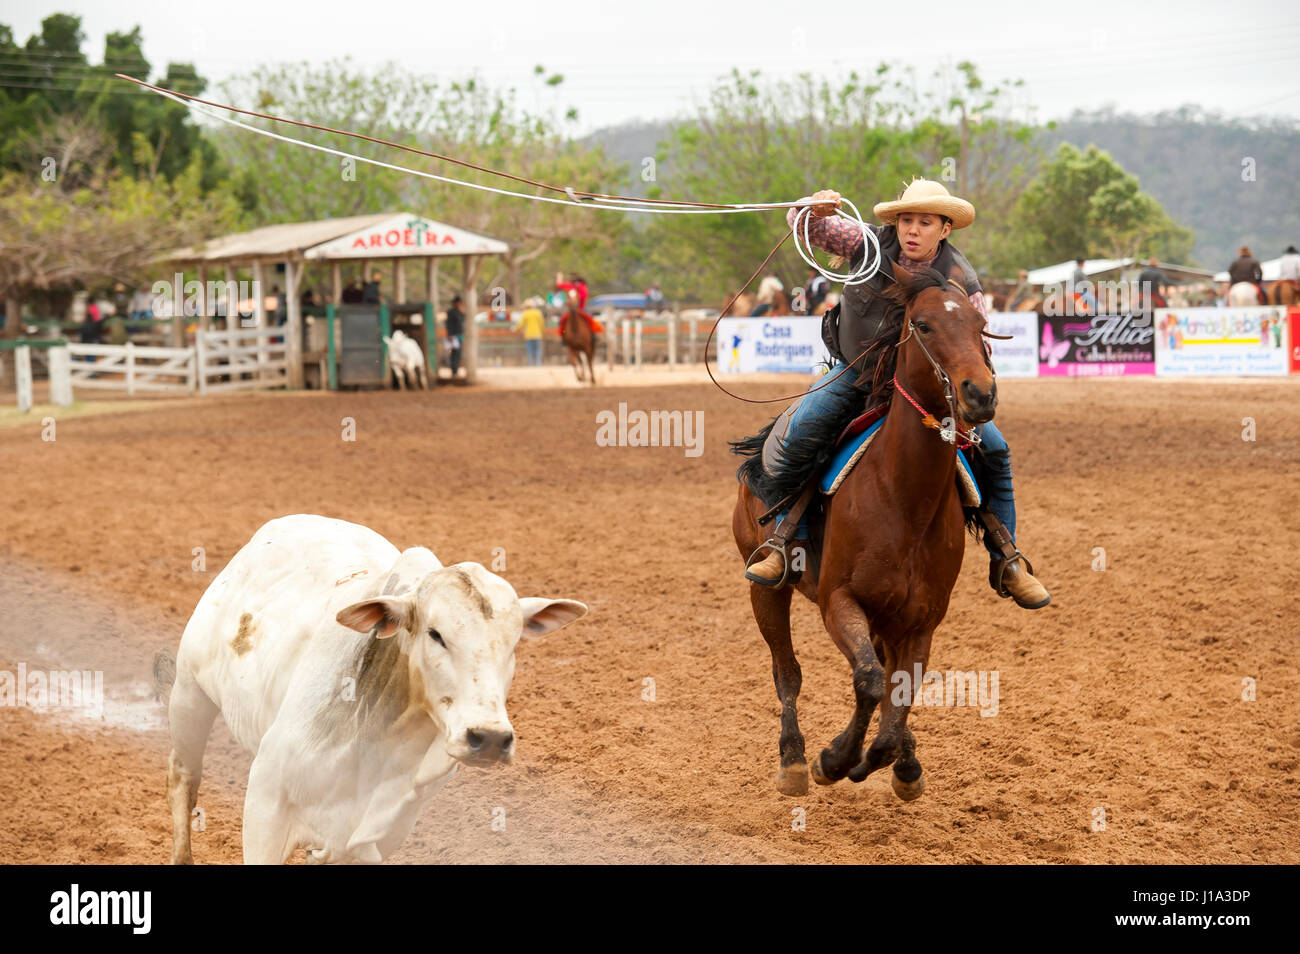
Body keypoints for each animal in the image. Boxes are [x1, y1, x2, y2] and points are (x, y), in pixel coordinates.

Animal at [167, 514, 590, 868]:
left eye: (514, 642)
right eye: (435, 634)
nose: (488, 738)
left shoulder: (377, 834)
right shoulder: (266, 805)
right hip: (189, 692)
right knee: (184, 779)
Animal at [733, 261, 993, 800]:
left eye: (981, 326)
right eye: (923, 325)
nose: (980, 393)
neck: (903, 499)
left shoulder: (921, 621)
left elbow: (899, 691)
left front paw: (893, 760)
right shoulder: (839, 600)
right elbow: (870, 682)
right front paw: (834, 760)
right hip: (766, 588)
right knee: (787, 672)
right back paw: (794, 761)